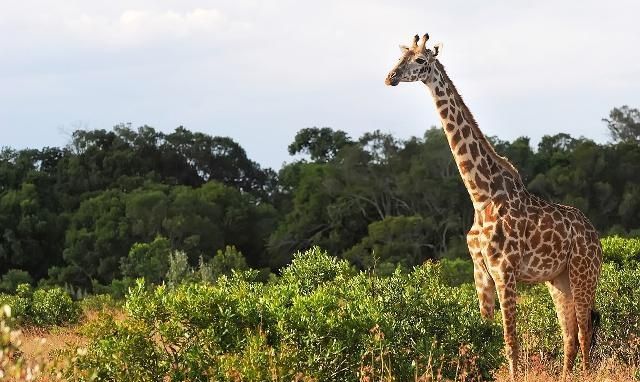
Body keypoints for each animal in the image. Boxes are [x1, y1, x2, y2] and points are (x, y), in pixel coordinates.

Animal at [382, 34, 604, 380]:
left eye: (420, 60)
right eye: (401, 55)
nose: (390, 77)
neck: (481, 194)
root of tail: (596, 236)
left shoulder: (505, 270)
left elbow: (510, 340)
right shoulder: (480, 270)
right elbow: (482, 335)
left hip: (584, 272)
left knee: (584, 330)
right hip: (559, 279)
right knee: (569, 332)